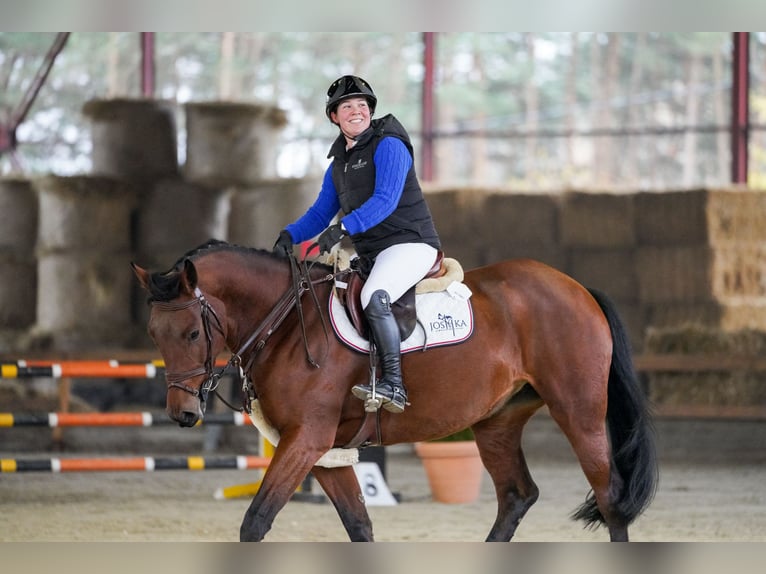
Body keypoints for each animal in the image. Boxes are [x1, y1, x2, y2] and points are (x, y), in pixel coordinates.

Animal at [132, 240, 660, 544]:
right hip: (497, 422)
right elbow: (359, 525)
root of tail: (577, 288)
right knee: (516, 496)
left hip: (579, 412)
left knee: (610, 499)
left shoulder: (305, 439)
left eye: (192, 334)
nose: (182, 413)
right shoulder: (325, 451)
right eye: (154, 334)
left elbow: (256, 521)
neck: (286, 324)